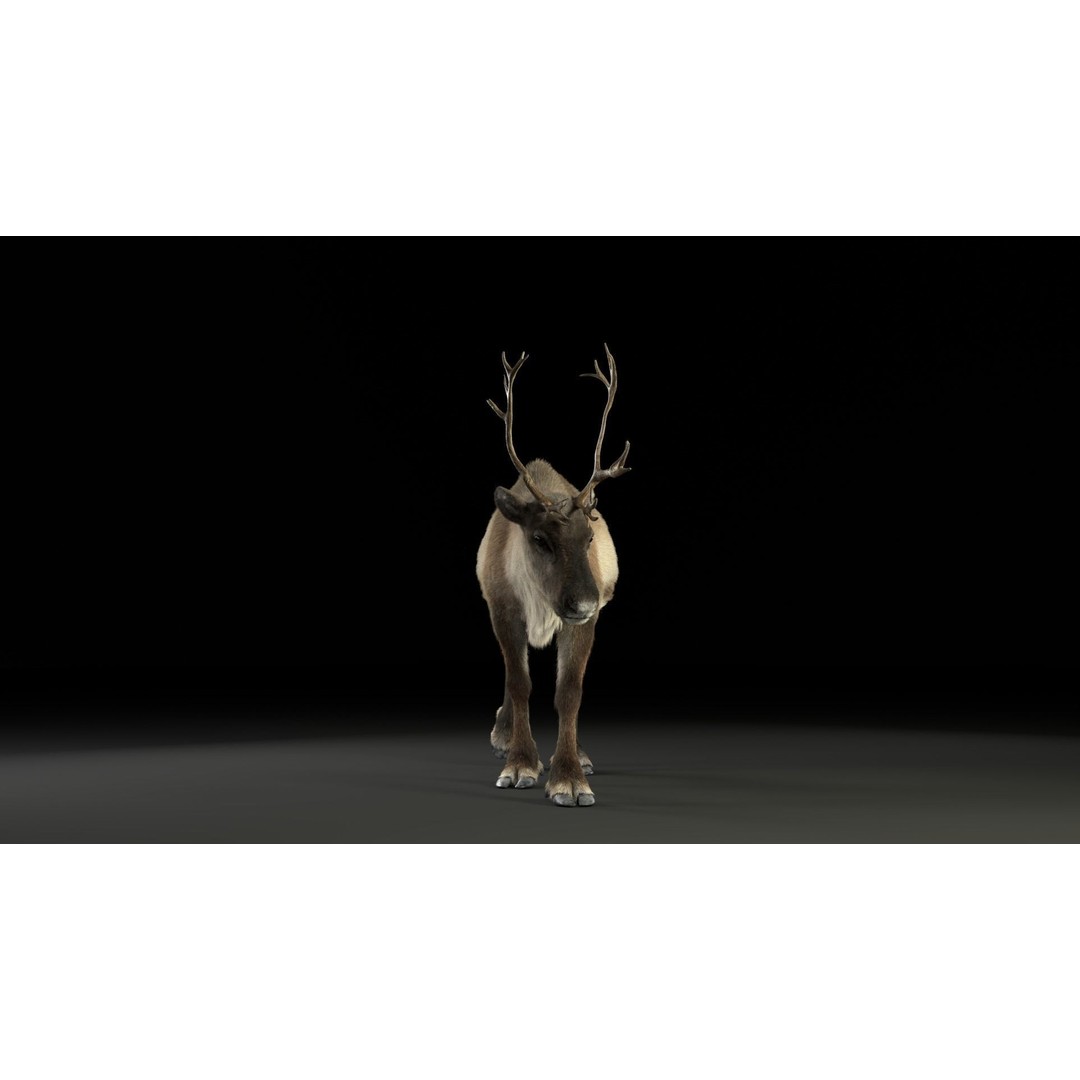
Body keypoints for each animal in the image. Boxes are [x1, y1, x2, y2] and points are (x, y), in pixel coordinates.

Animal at [476, 345, 630, 807]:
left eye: (589, 536)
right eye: (540, 538)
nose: (584, 601)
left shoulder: (585, 623)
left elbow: (569, 692)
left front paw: (570, 777)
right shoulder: (503, 609)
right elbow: (520, 682)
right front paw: (520, 764)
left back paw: (580, 755)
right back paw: (503, 735)